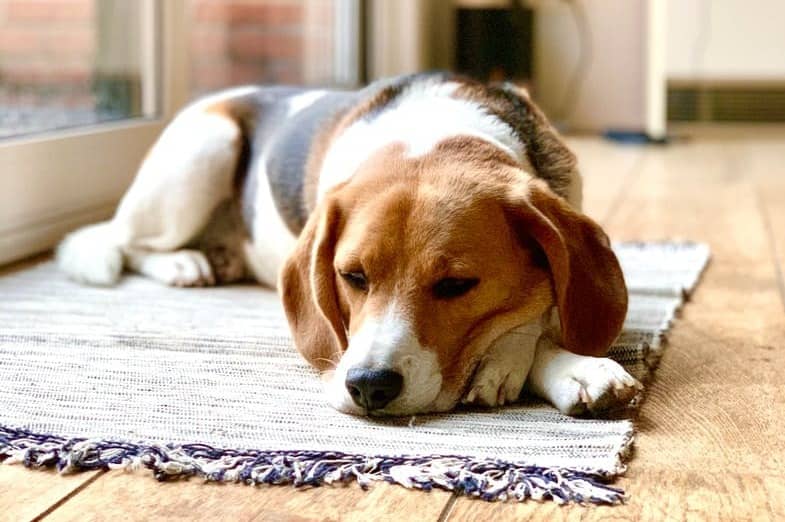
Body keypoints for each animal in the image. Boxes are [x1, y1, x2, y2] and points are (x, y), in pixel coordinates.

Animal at [58, 72, 640, 414]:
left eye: (456, 285)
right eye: (352, 277)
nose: (368, 386)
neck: (434, 131)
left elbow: (540, 314)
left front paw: (562, 364)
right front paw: (532, 359)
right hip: (207, 147)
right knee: (127, 242)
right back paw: (185, 263)